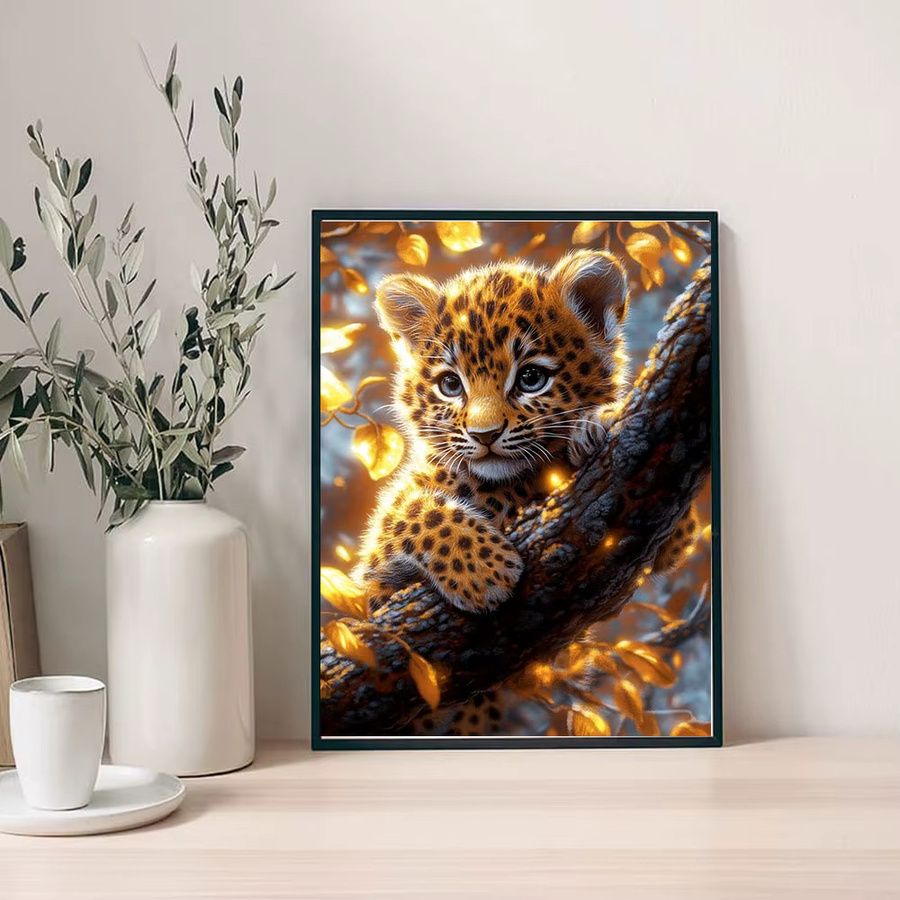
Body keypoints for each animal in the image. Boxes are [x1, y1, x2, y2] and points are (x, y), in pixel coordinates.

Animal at [352, 249, 697, 615]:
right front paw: (483, 571)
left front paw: (599, 423)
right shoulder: (374, 572)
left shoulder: (671, 533)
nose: (484, 435)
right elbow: (411, 511)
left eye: (531, 378)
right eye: (450, 385)